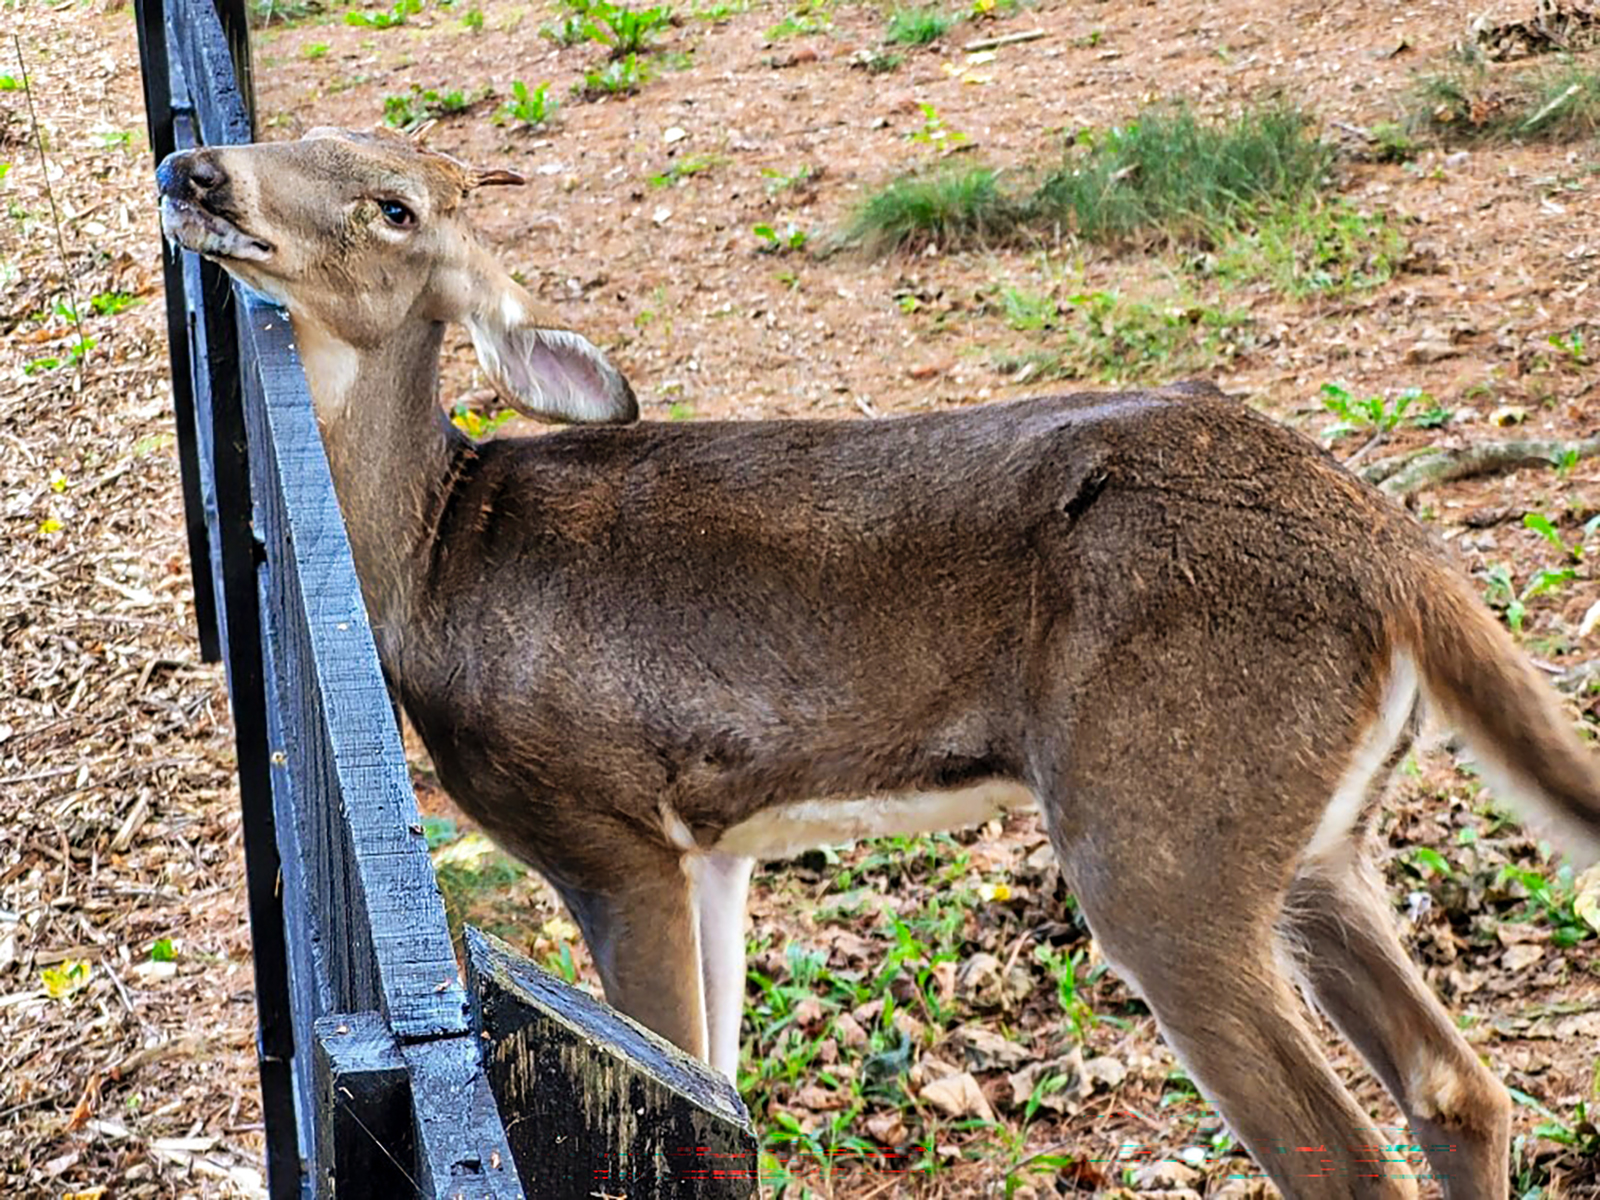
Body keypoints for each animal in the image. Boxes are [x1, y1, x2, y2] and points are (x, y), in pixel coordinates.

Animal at [155, 126, 1600, 1199]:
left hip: (1162, 828)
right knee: (1458, 1090)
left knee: (1345, 1153)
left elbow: (684, 1072)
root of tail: (1396, 553)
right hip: (1310, 835)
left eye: (393, 206)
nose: (196, 170)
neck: (436, 559)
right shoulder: (714, 845)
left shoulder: (600, 828)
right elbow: (723, 1081)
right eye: (290, 132)